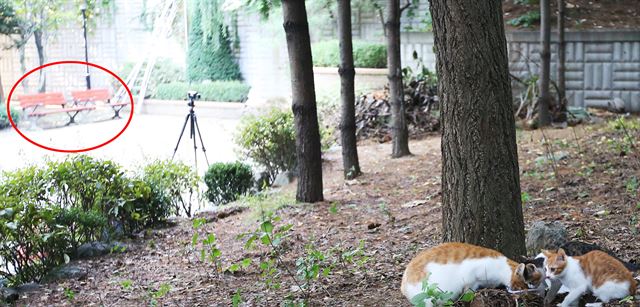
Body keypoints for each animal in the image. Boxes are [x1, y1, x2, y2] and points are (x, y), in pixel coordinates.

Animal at [400, 243, 540, 306]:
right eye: (525, 286)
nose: (531, 296)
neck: (503, 267)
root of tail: (403, 285)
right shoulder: (471, 275)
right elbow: (469, 289)